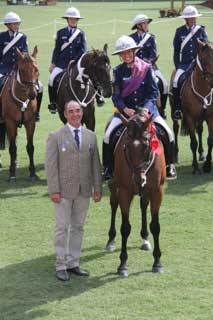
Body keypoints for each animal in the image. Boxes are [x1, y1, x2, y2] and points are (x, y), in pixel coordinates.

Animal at [0, 46, 39, 181]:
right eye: (21, 70)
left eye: (36, 69)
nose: (32, 94)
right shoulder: (10, 122)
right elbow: (12, 148)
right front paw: (12, 174)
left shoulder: (30, 122)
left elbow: (30, 147)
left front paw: (32, 173)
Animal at [105, 110, 166, 276]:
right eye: (126, 146)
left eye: (147, 146)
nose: (139, 179)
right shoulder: (125, 192)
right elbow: (125, 228)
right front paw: (122, 264)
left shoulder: (157, 191)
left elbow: (155, 226)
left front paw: (157, 262)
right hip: (114, 185)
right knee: (113, 204)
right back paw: (110, 240)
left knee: (143, 205)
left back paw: (145, 239)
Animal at [170, 41, 213, 174]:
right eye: (203, 60)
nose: (212, 82)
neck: (203, 88)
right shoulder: (189, 117)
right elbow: (193, 142)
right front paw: (196, 168)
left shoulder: (210, 117)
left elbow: (210, 140)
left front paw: (207, 165)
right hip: (175, 112)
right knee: (176, 128)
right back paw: (175, 155)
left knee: (199, 130)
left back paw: (201, 153)